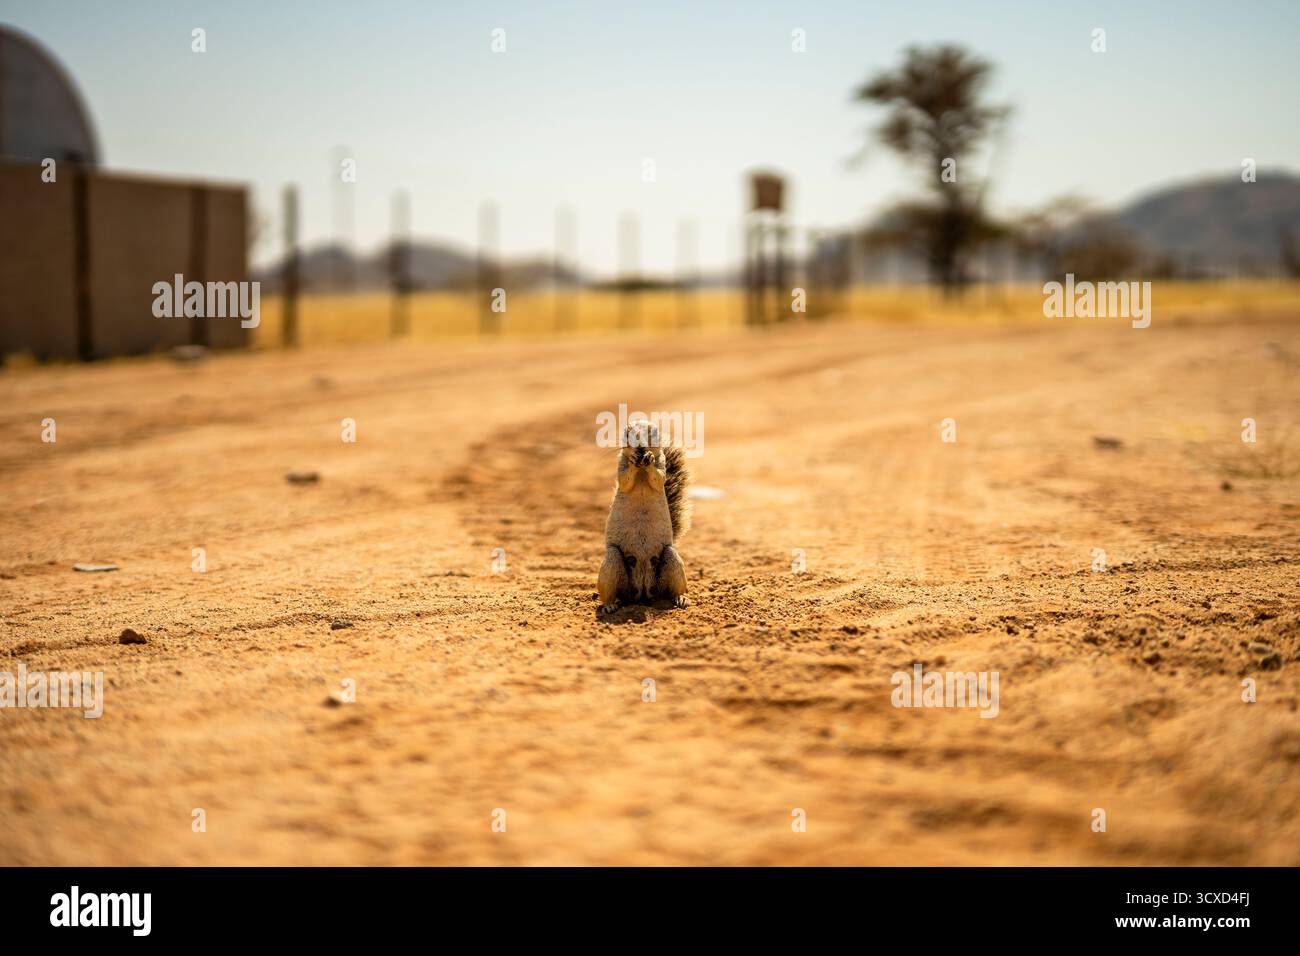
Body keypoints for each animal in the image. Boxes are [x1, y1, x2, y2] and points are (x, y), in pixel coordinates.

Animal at [598, 420, 691, 615]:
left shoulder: (661, 463)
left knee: (673, 590)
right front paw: (635, 460)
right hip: (612, 561)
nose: (640, 448)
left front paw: (648, 458)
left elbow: (658, 477)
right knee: (611, 593)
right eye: (626, 433)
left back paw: (681, 599)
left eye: (653, 432)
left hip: (672, 559)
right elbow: (625, 479)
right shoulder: (621, 464)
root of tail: (642, 593)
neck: (641, 470)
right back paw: (610, 605)